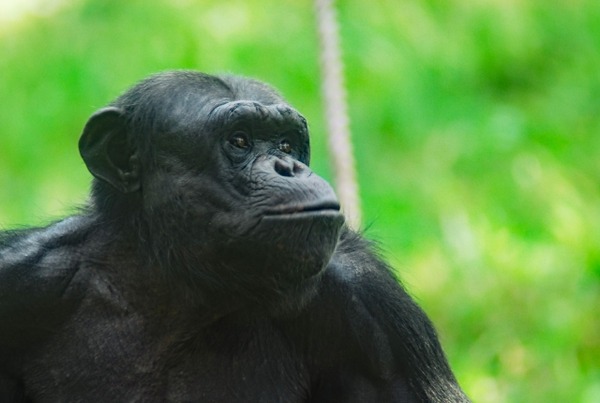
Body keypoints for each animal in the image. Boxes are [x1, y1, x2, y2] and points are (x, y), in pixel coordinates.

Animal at [0, 71, 468, 402]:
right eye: (239, 140)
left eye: (286, 143)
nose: (290, 167)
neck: (176, 293)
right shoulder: (21, 282)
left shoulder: (379, 319)